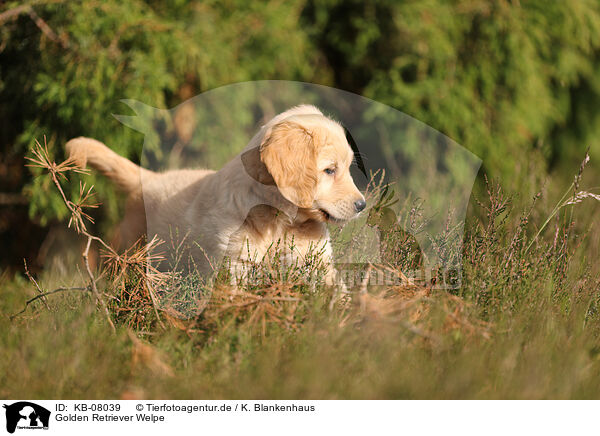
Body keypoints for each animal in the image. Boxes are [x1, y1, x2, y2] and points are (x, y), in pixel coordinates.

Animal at [66, 104, 366, 282]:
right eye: (329, 170)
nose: (362, 205)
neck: (280, 220)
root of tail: (150, 179)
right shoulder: (234, 265)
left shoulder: (316, 260)